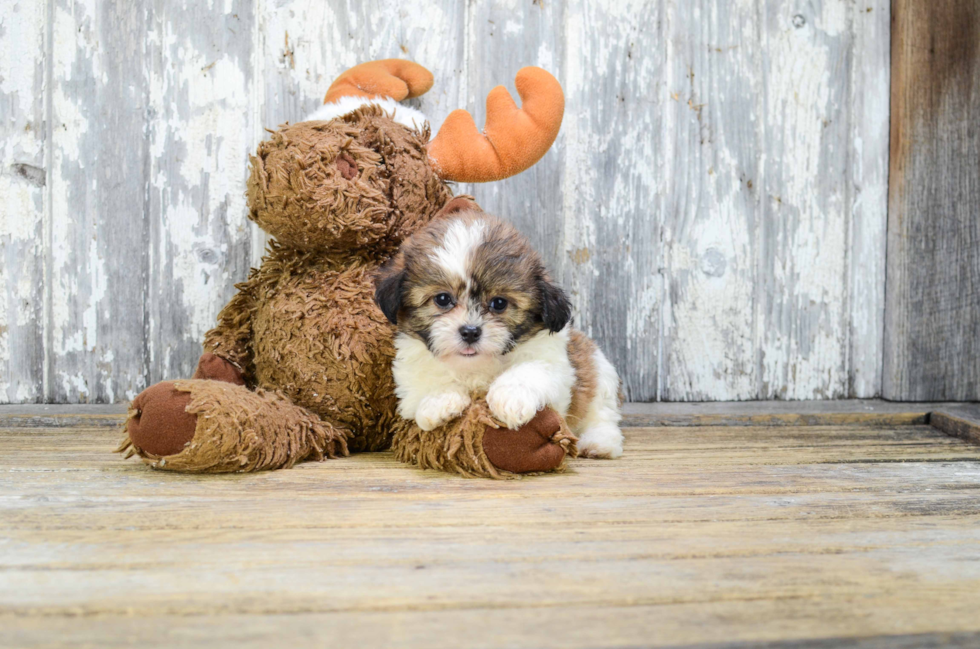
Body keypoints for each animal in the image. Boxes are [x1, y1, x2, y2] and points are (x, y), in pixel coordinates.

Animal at [376, 200, 620, 458]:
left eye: (499, 303)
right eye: (442, 299)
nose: (470, 331)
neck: (476, 366)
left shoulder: (556, 366)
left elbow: (530, 370)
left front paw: (510, 397)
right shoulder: (408, 377)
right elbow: (423, 385)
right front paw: (438, 402)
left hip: (601, 377)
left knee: (602, 416)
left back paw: (598, 443)